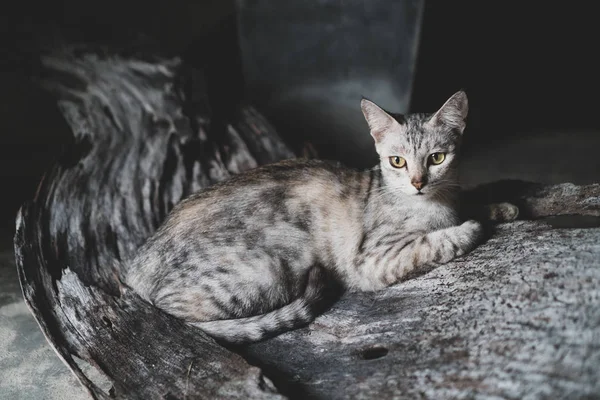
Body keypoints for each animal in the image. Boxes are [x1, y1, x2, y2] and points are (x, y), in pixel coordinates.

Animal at [125, 90, 516, 344]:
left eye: (437, 158)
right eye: (397, 161)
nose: (418, 182)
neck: (434, 202)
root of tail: (135, 271)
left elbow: (467, 203)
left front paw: (500, 206)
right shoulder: (371, 259)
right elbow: (434, 241)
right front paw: (470, 227)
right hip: (267, 269)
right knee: (182, 319)